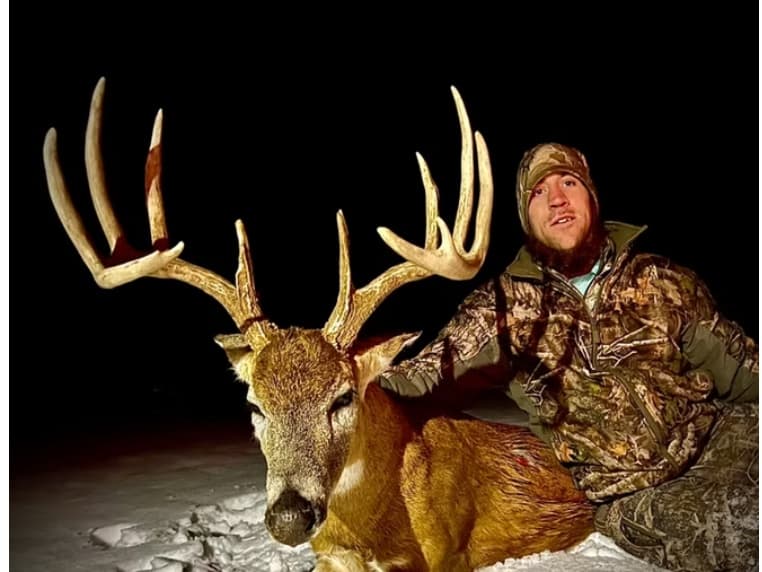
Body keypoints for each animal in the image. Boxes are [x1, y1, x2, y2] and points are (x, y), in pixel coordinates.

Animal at [43, 78, 595, 571]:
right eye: (254, 404)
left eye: (343, 397)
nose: (290, 518)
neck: (364, 527)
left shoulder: (441, 556)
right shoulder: (329, 556)